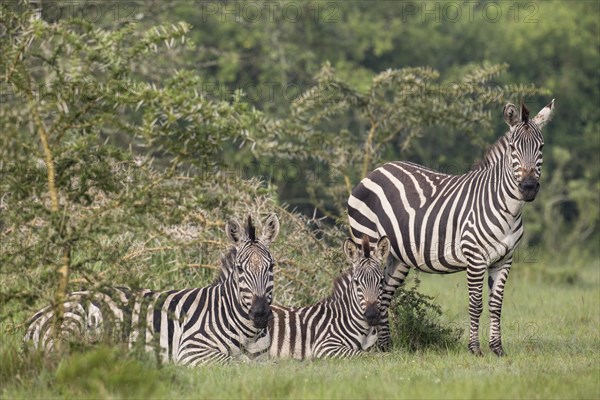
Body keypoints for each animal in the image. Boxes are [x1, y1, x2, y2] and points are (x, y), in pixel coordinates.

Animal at [23, 216, 282, 366]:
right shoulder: (192, 348)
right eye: (240, 269)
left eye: (271, 267)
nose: (260, 314)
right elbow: (237, 364)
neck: (247, 332)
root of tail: (39, 315)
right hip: (73, 321)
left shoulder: (263, 359)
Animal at [350, 100, 556, 356]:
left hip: (395, 256)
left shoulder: (504, 260)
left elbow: (496, 305)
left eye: (541, 146)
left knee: (384, 295)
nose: (528, 187)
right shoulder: (475, 258)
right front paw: (475, 349)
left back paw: (385, 347)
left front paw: (497, 349)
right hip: (365, 240)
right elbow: (476, 305)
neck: (507, 208)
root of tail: (377, 170)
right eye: (512, 148)